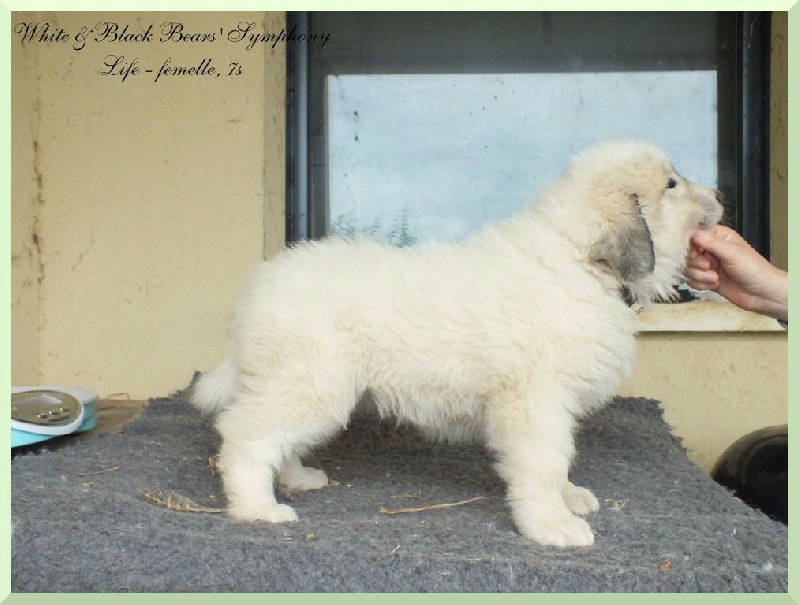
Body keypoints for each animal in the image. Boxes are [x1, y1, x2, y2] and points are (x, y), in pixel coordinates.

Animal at [191, 140, 723, 547]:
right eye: (672, 184)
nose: (719, 194)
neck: (580, 259)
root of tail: (254, 295)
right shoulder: (533, 402)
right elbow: (544, 462)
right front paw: (553, 525)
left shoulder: (552, 402)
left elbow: (559, 462)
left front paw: (569, 497)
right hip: (312, 383)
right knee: (245, 434)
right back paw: (257, 508)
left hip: (300, 384)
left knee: (274, 435)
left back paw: (296, 478)